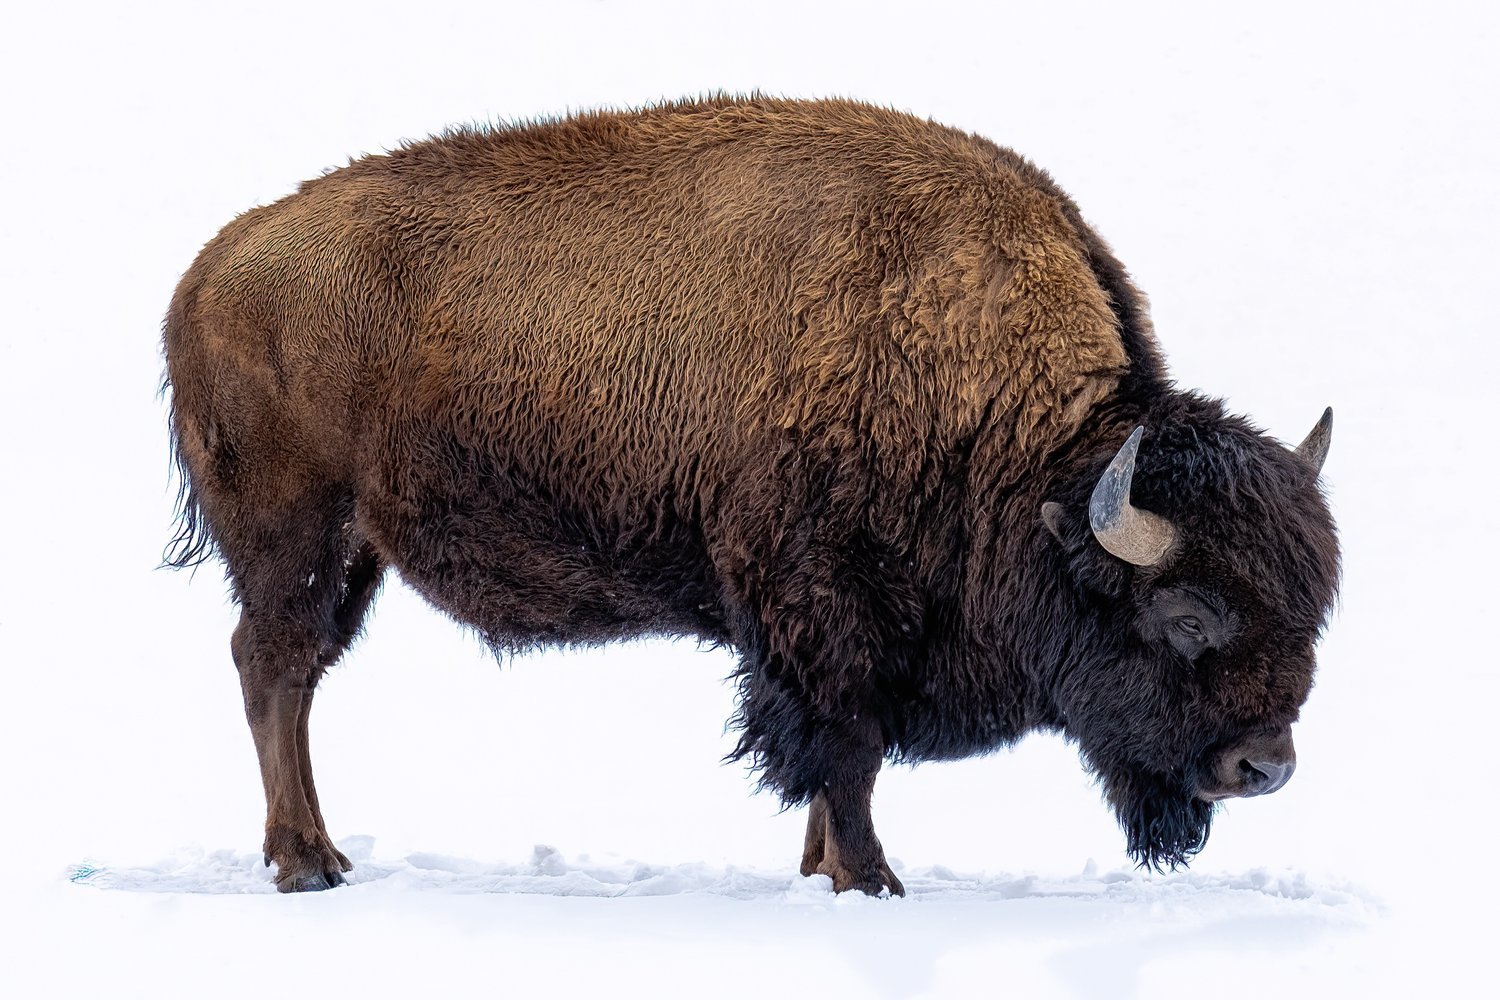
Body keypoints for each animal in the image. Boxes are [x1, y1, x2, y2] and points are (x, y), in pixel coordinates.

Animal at [161, 93, 1338, 893]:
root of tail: (212, 268)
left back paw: (319, 854)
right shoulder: (821, 608)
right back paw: (307, 862)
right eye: (1185, 613)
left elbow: (839, 760)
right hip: (296, 535)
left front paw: (823, 871)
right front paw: (871, 879)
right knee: (273, 670)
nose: (1266, 766)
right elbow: (845, 748)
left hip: (351, 552)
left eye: (1313, 611)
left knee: (296, 675)